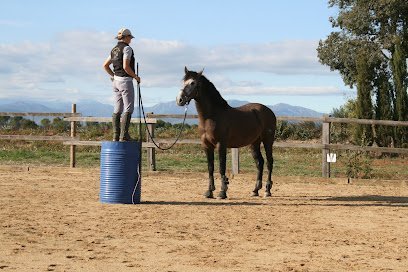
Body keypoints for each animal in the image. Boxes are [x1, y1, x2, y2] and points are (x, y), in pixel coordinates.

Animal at [176, 67, 278, 199]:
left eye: (193, 83)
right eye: (184, 82)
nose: (180, 100)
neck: (212, 116)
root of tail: (269, 111)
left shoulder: (221, 145)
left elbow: (221, 167)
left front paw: (222, 192)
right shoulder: (206, 146)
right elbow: (210, 168)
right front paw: (209, 191)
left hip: (267, 141)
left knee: (269, 162)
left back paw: (267, 190)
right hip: (254, 143)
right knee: (260, 162)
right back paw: (255, 190)